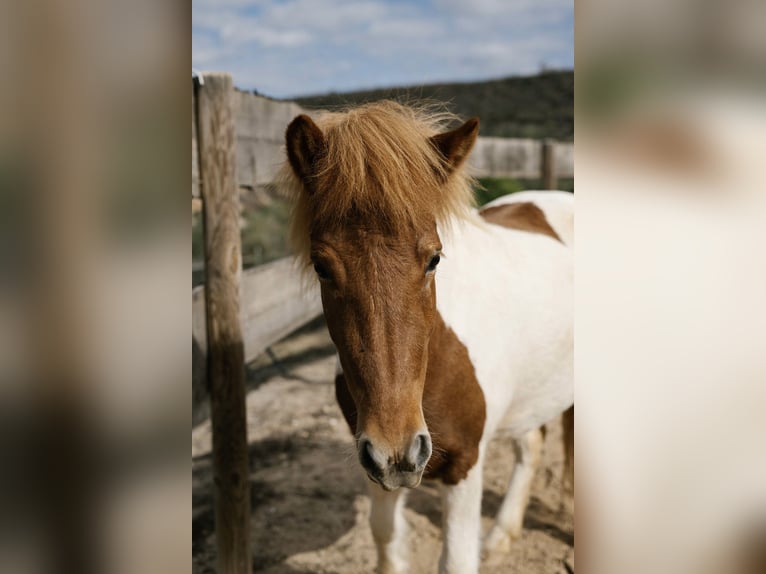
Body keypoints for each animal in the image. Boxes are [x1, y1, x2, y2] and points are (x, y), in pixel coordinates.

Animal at [280, 101, 573, 574]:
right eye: (321, 266)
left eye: (434, 258)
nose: (399, 447)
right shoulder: (373, 461)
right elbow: (385, 535)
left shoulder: (465, 465)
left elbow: (455, 560)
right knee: (531, 445)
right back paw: (501, 537)